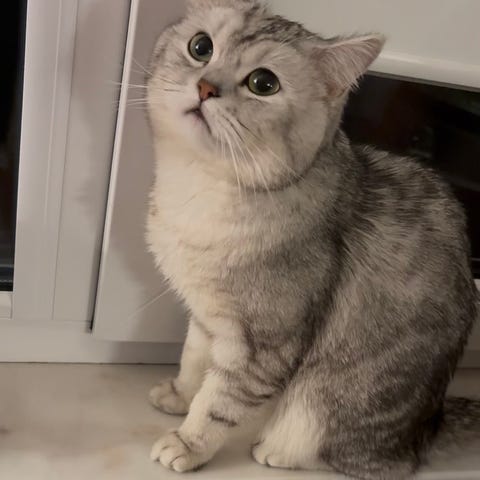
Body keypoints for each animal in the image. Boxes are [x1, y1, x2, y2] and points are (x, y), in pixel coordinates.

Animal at [144, 1, 480, 478]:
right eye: (200, 47)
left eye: (263, 83)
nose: (206, 87)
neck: (199, 186)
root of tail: (428, 427)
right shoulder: (207, 315)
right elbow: (193, 361)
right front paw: (177, 395)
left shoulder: (262, 346)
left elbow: (218, 401)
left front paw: (188, 443)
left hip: (321, 402)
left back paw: (275, 450)